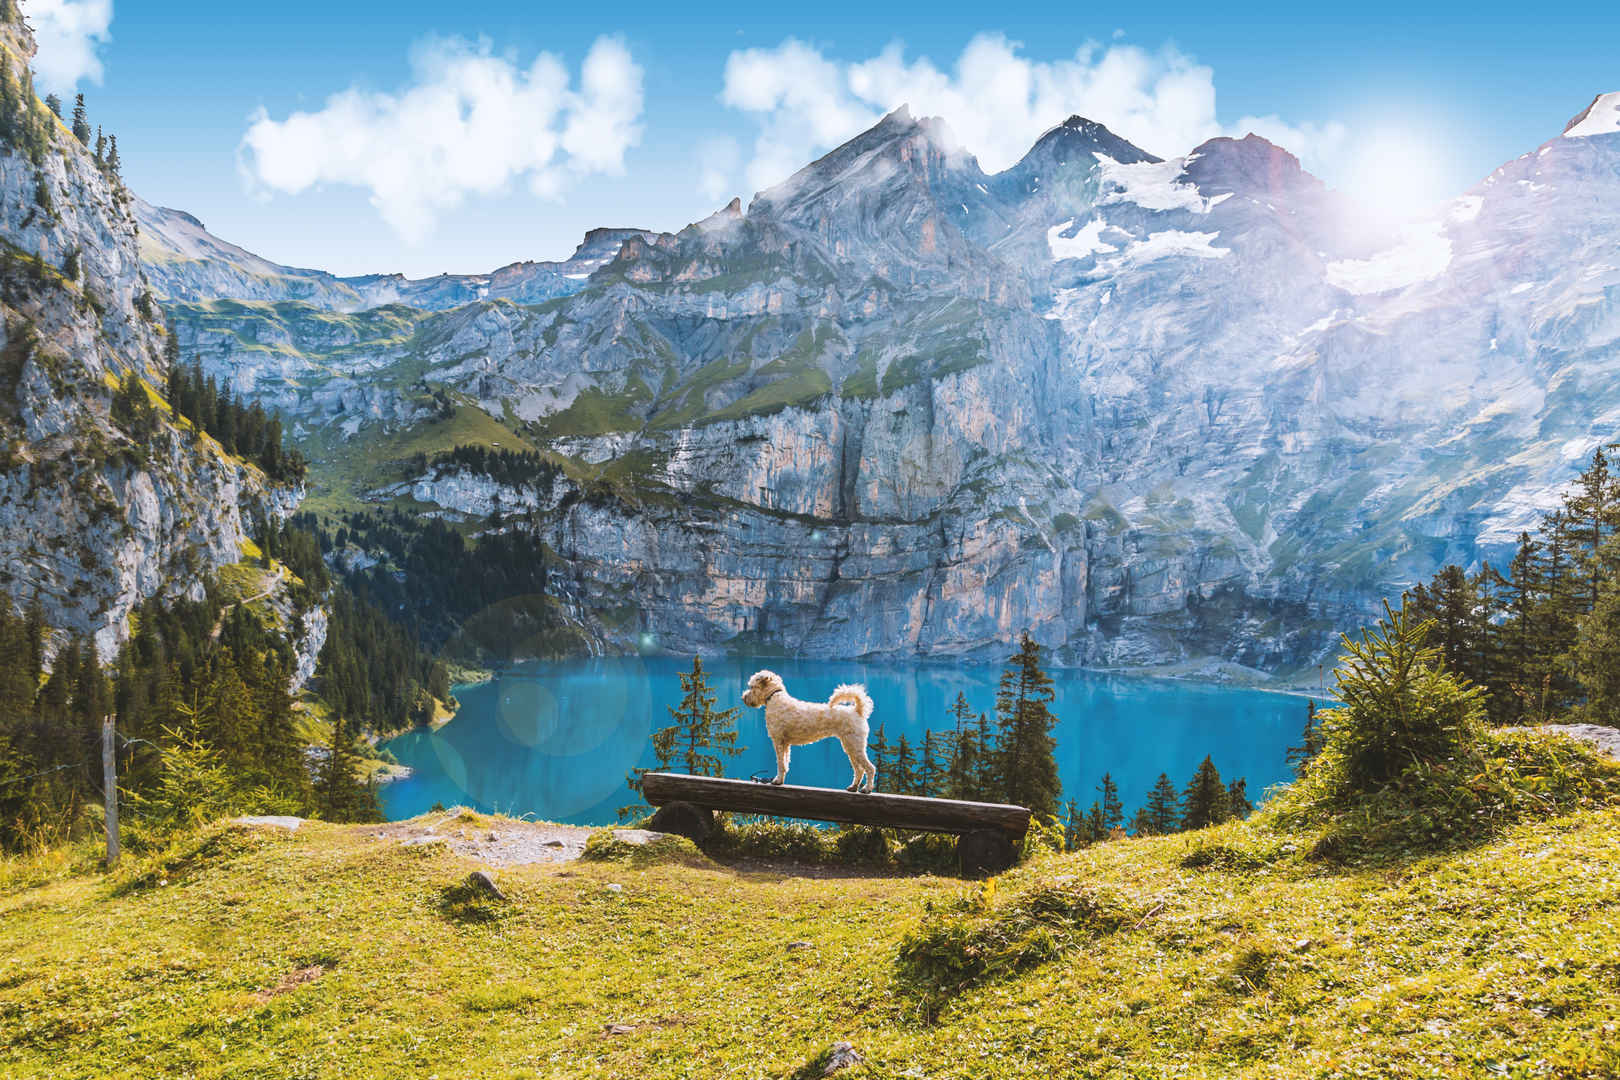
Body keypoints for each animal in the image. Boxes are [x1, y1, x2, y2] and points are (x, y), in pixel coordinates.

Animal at [741, 667, 881, 793]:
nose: (743, 697)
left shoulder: (778, 741)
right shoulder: (785, 744)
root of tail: (858, 711)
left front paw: (777, 780)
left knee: (870, 768)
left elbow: (780, 764)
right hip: (849, 746)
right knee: (859, 769)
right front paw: (780, 780)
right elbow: (785, 763)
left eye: (751, 686)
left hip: (855, 745)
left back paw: (866, 789)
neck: (774, 697)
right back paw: (853, 787)